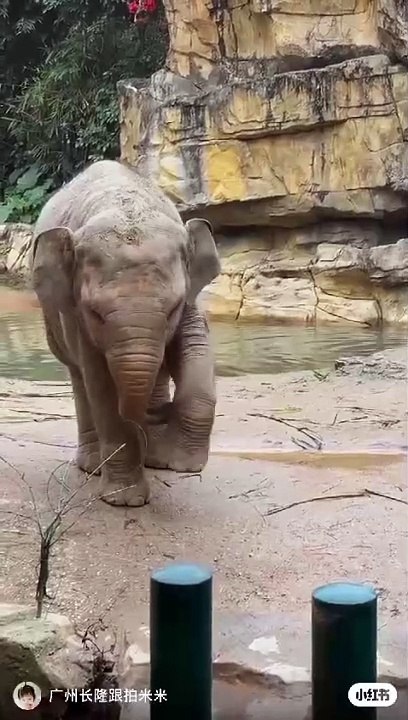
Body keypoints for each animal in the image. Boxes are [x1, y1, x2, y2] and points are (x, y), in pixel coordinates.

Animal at [31, 160, 221, 507]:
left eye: (173, 308)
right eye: (95, 312)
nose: (159, 416)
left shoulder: (190, 294)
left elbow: (196, 348)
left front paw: (182, 464)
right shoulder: (76, 314)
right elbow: (101, 383)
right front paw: (125, 500)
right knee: (79, 378)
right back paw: (94, 466)